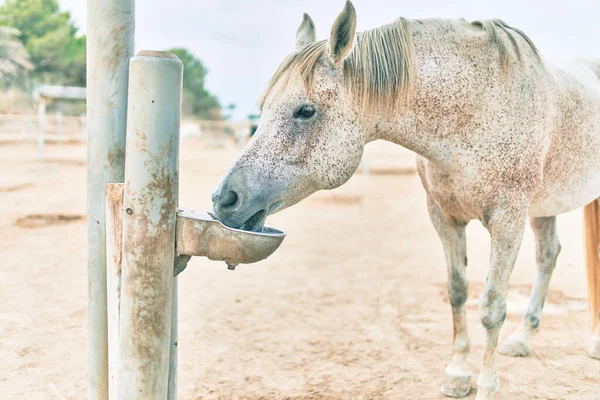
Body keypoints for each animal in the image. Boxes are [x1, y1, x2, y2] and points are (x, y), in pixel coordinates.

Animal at [212, 1, 600, 398]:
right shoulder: (444, 217)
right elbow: (457, 291)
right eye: (262, 107)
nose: (225, 198)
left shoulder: (508, 220)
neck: (481, 108)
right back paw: (522, 339)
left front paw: (487, 386)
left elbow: (492, 305)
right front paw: (457, 373)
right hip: (544, 208)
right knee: (548, 256)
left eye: (305, 110)